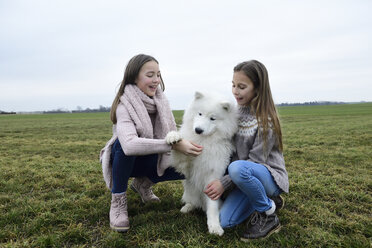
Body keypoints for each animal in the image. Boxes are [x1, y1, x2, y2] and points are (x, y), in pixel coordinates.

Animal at [166, 91, 238, 234]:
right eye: (199, 114)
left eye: (212, 118)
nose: (198, 130)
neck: (203, 142)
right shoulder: (184, 166)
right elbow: (178, 151)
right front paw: (173, 137)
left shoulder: (212, 176)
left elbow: (212, 205)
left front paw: (214, 226)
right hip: (190, 191)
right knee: (192, 201)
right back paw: (187, 207)